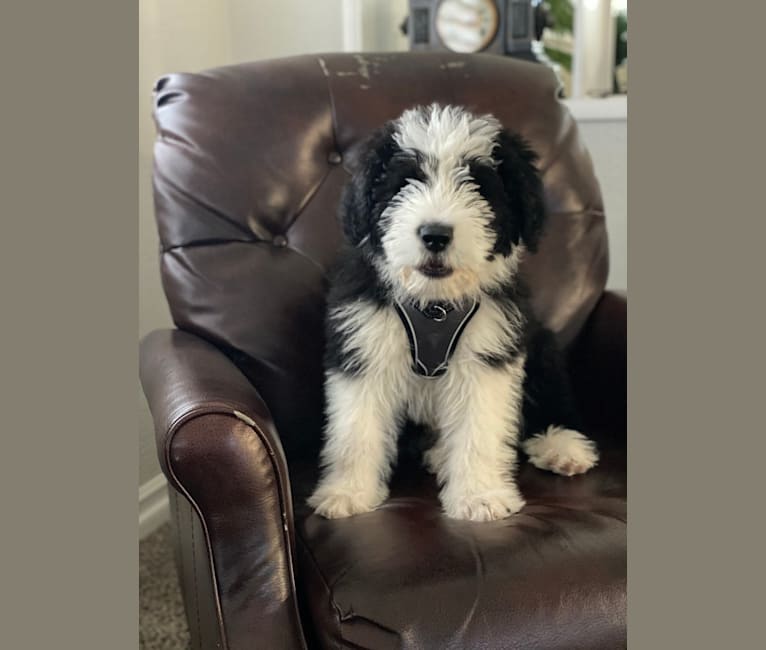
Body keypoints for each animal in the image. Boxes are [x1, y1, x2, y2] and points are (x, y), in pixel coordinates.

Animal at [308, 106, 596, 520]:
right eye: (405, 182)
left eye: (477, 185)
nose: (435, 234)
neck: (435, 304)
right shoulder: (363, 345)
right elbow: (356, 428)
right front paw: (348, 492)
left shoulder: (489, 352)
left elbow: (480, 428)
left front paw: (480, 496)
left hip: (539, 343)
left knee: (552, 399)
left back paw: (563, 448)